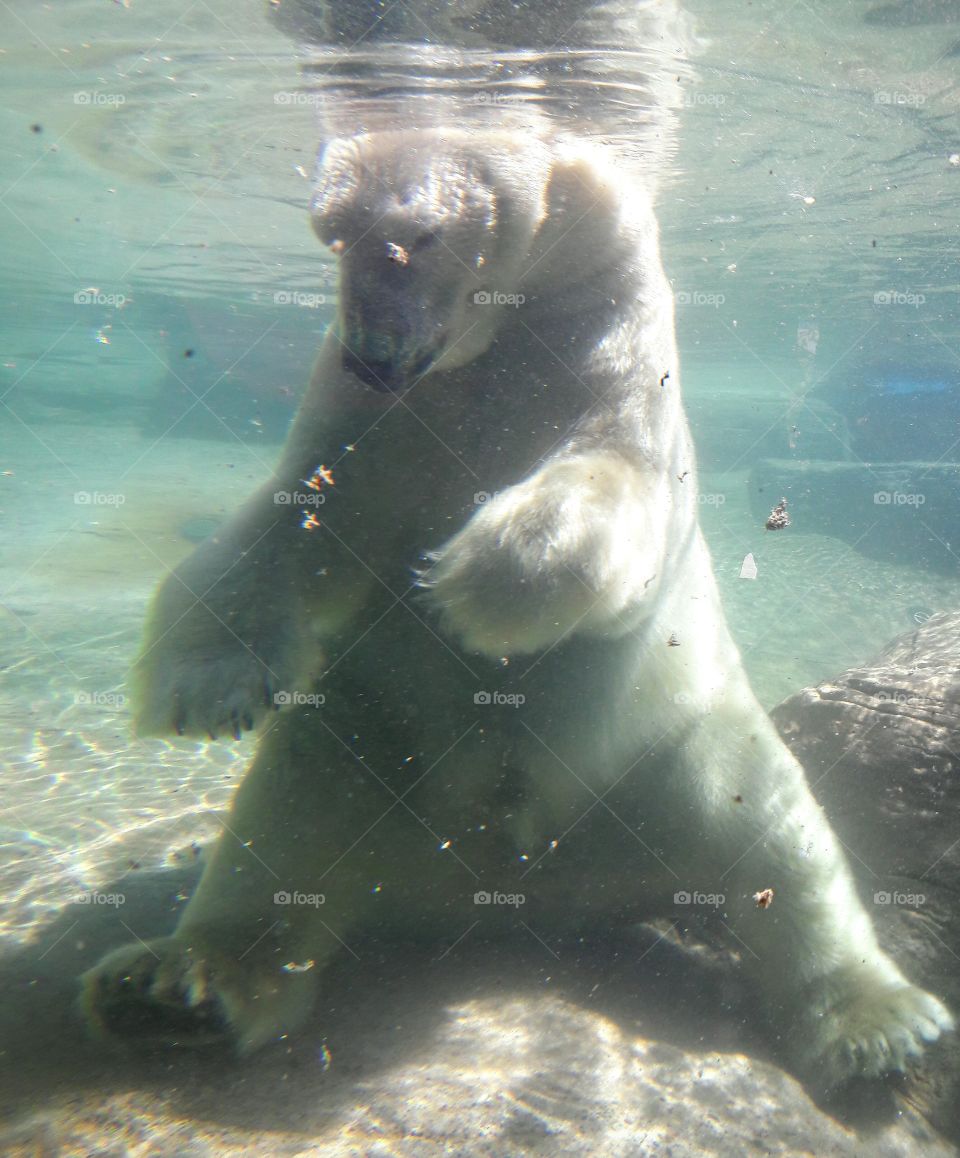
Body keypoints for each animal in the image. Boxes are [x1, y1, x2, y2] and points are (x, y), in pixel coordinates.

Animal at [82, 126, 953, 1090]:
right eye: (333, 235)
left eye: (417, 237)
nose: (371, 353)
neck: (497, 343)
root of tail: (513, 898)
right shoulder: (369, 422)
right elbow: (294, 528)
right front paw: (204, 691)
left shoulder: (610, 350)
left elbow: (614, 480)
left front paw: (476, 587)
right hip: (356, 747)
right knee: (279, 843)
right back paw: (172, 986)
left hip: (681, 756)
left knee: (779, 847)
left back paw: (879, 1023)